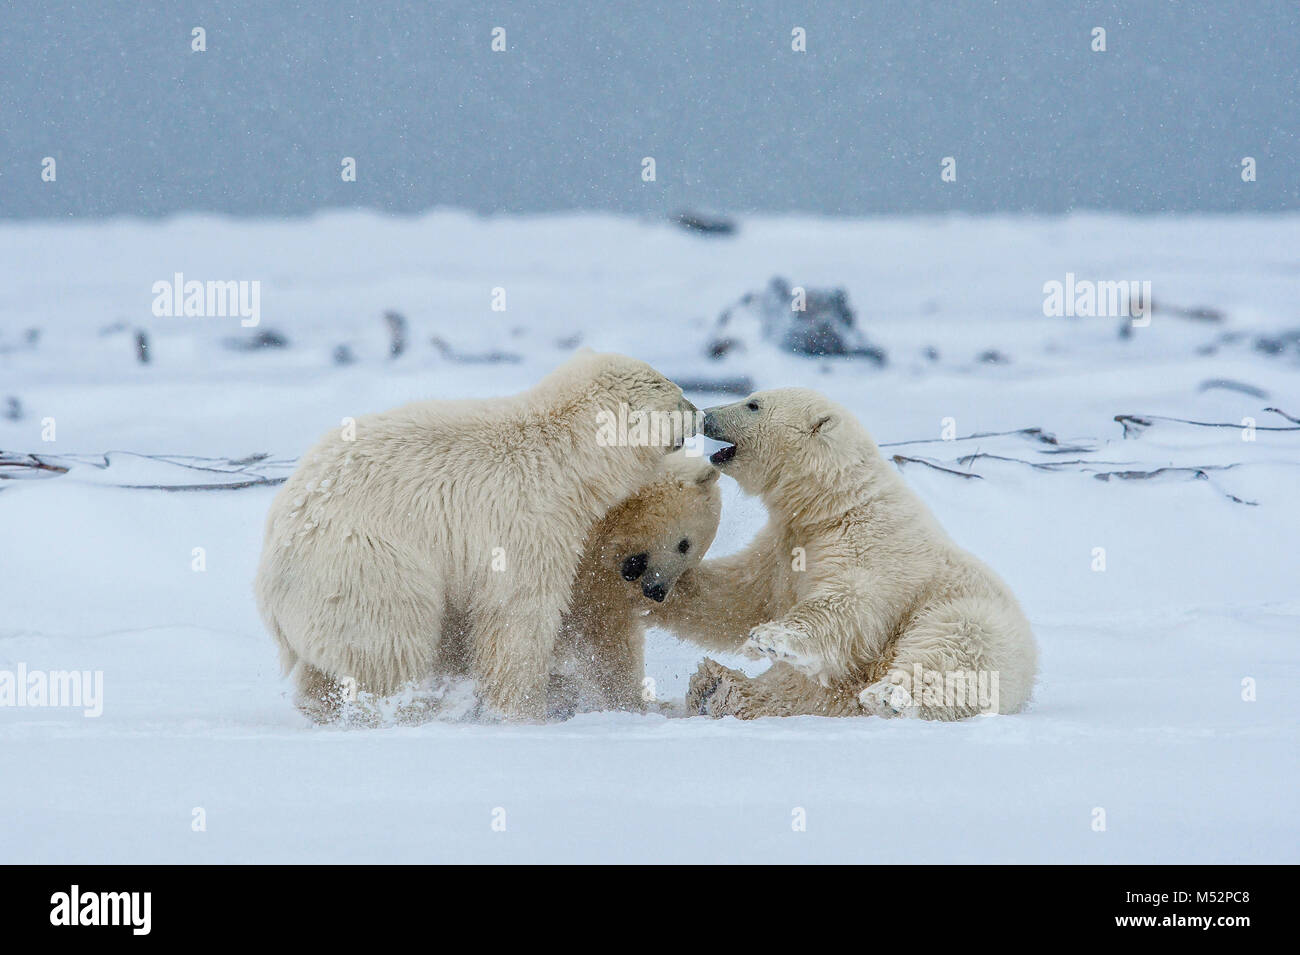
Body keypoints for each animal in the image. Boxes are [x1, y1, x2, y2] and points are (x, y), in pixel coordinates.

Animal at [256, 356, 702, 722]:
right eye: (675, 391)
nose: (699, 413)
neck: (563, 455)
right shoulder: (526, 521)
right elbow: (517, 615)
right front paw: (523, 710)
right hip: (366, 564)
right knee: (391, 645)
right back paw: (409, 709)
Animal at [655, 387, 1040, 717]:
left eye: (753, 404)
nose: (707, 415)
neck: (835, 504)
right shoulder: (783, 548)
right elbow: (737, 595)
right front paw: (660, 591)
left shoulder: (869, 544)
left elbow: (847, 603)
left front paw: (769, 638)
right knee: (798, 691)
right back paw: (716, 687)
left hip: (968, 618)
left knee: (952, 650)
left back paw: (889, 696)